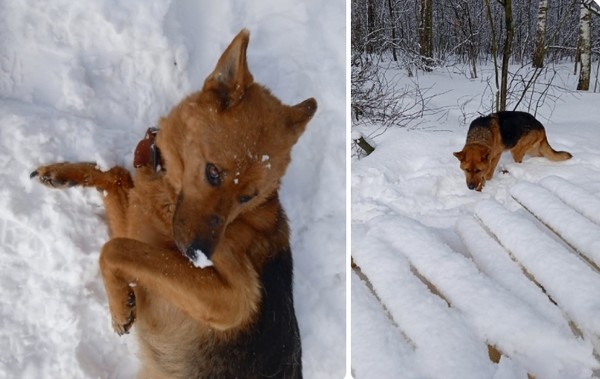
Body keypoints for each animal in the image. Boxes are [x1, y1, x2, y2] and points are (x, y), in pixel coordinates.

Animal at [30, 30, 316, 379]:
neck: (167, 190)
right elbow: (114, 175)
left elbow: (115, 248)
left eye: (248, 197)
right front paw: (60, 173)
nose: (199, 255)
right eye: (212, 172)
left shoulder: (233, 299)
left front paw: (119, 305)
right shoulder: (136, 223)